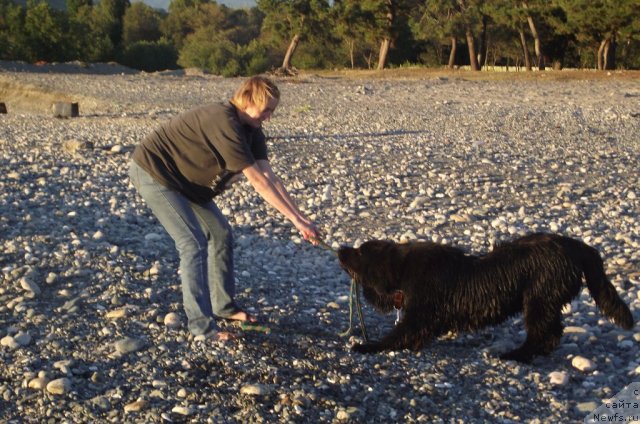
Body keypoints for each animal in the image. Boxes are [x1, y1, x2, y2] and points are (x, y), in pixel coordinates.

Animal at [340, 234, 636, 362]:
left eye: (360, 252)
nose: (341, 248)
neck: (403, 270)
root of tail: (579, 246)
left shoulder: (419, 315)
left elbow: (398, 335)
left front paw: (366, 346)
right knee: (551, 333)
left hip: (539, 299)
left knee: (542, 333)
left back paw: (515, 355)